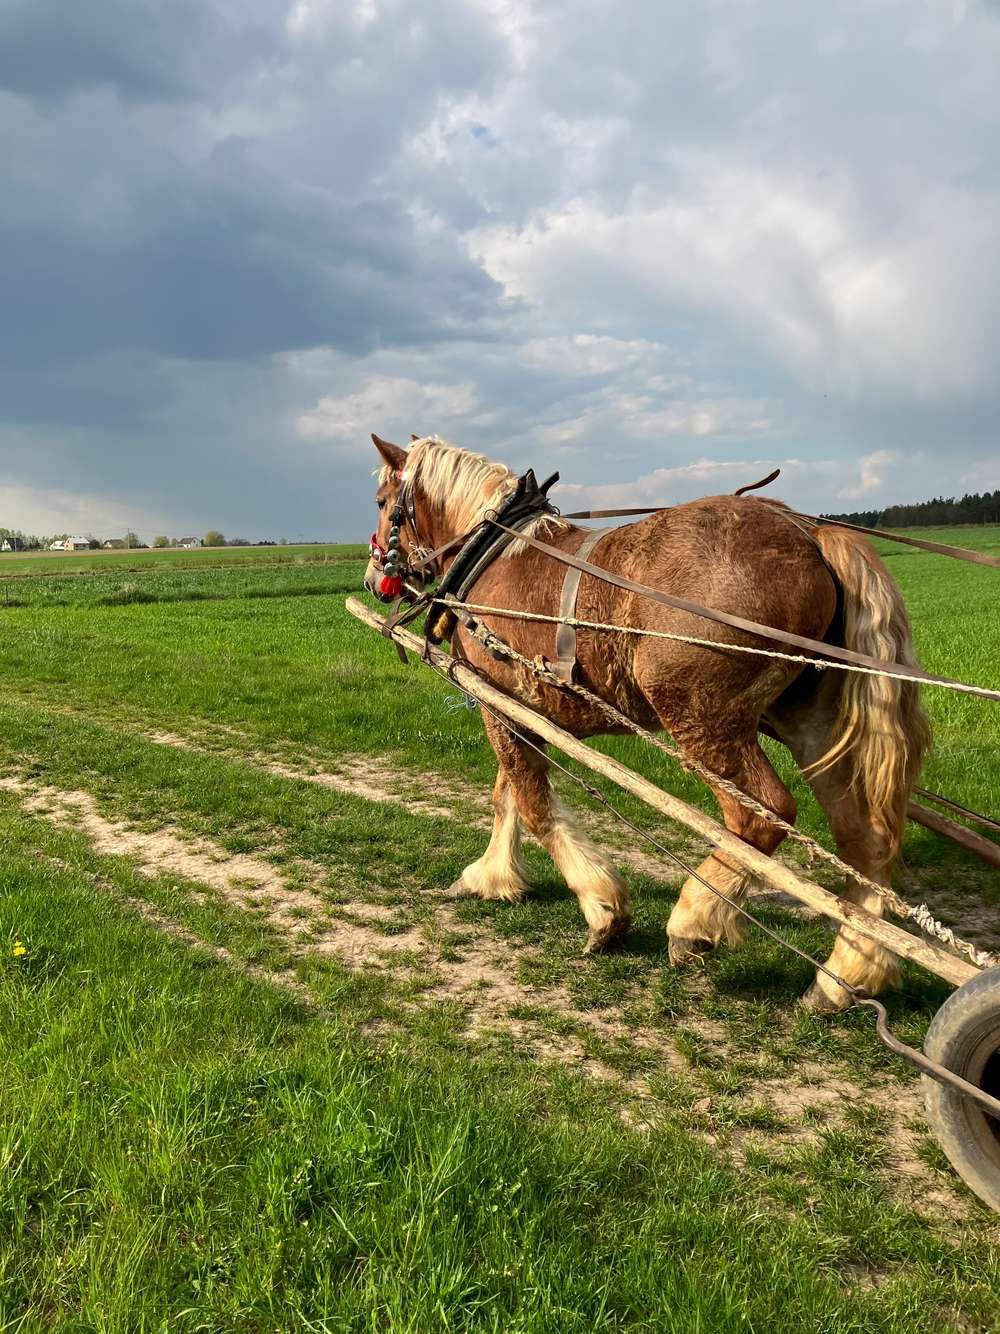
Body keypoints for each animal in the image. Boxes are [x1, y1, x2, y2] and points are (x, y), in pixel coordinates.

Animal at [365, 434, 938, 1008]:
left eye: (382, 502)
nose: (373, 579)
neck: (494, 551)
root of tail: (809, 533)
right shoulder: (519, 708)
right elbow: (506, 794)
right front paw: (492, 875)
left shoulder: (499, 703)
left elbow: (531, 804)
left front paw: (602, 908)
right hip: (812, 720)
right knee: (864, 835)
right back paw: (846, 974)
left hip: (701, 716)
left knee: (761, 815)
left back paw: (693, 922)